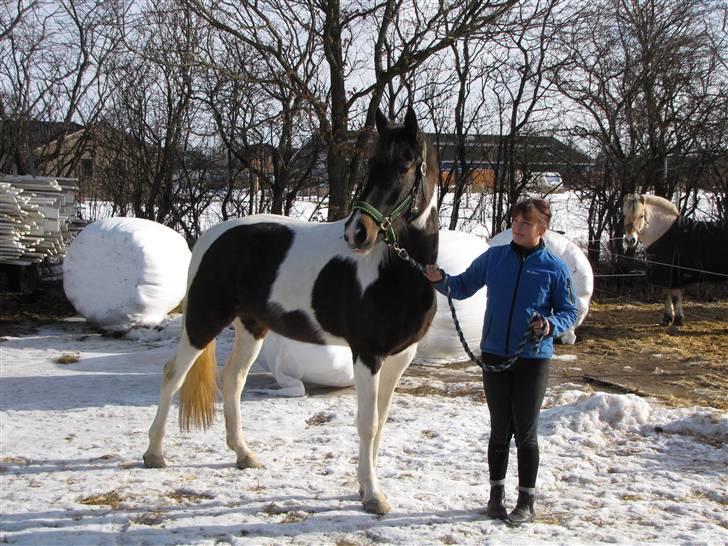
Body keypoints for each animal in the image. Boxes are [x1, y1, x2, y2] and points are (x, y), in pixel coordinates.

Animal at [142, 107, 438, 516]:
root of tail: (212, 237)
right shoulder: (367, 355)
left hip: (252, 326)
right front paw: (373, 495)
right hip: (203, 321)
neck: (395, 270)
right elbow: (366, 423)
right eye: (371, 165)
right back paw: (154, 453)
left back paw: (243, 454)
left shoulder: (399, 357)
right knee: (173, 375)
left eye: (406, 165)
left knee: (232, 379)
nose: (357, 233)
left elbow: (380, 422)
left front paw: (365, 488)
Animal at [620, 193, 728, 330]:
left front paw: (678, 320)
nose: (630, 240)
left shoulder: (673, 274)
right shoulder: (664, 274)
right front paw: (667, 319)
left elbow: (676, 297)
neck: (663, 232)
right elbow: (666, 295)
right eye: (624, 215)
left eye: (641, 216)